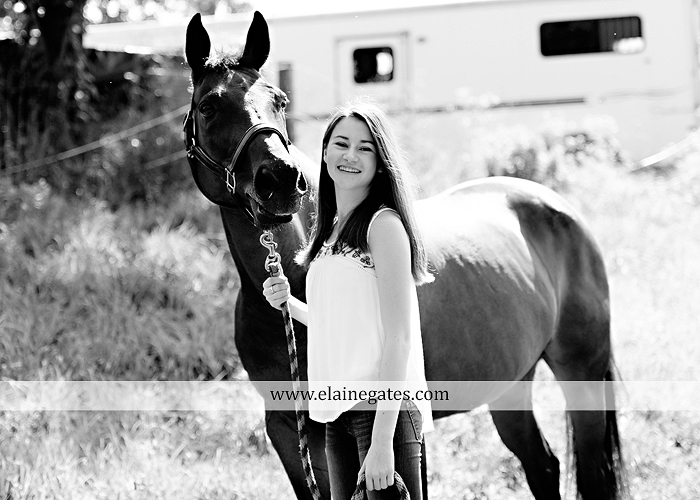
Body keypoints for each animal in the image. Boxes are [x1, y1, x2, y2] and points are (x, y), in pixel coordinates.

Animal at [183, 11, 624, 500]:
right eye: (208, 106)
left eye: (279, 101)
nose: (279, 179)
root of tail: (558, 208)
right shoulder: (287, 429)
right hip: (510, 383)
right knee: (543, 466)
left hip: (581, 375)